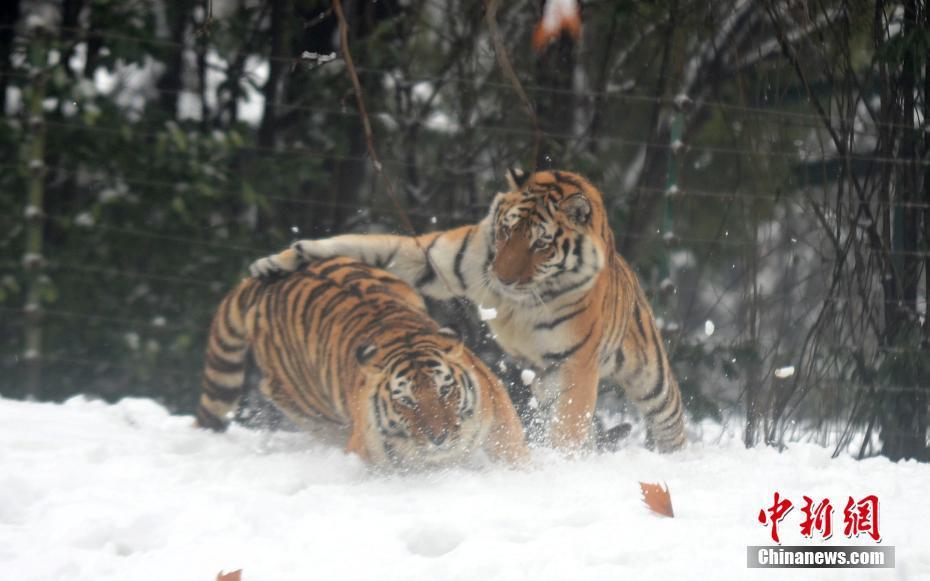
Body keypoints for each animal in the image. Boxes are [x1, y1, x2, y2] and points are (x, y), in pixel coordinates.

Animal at [194, 255, 528, 466]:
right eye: (406, 401)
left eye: (445, 391)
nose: (440, 437)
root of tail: (265, 282)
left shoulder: (508, 443)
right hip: (306, 404)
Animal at [250, 170, 684, 450]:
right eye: (507, 231)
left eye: (541, 244)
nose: (502, 278)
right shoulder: (434, 258)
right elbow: (357, 244)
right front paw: (274, 262)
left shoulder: (575, 361)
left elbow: (571, 424)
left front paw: (560, 461)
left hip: (650, 376)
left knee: (669, 418)